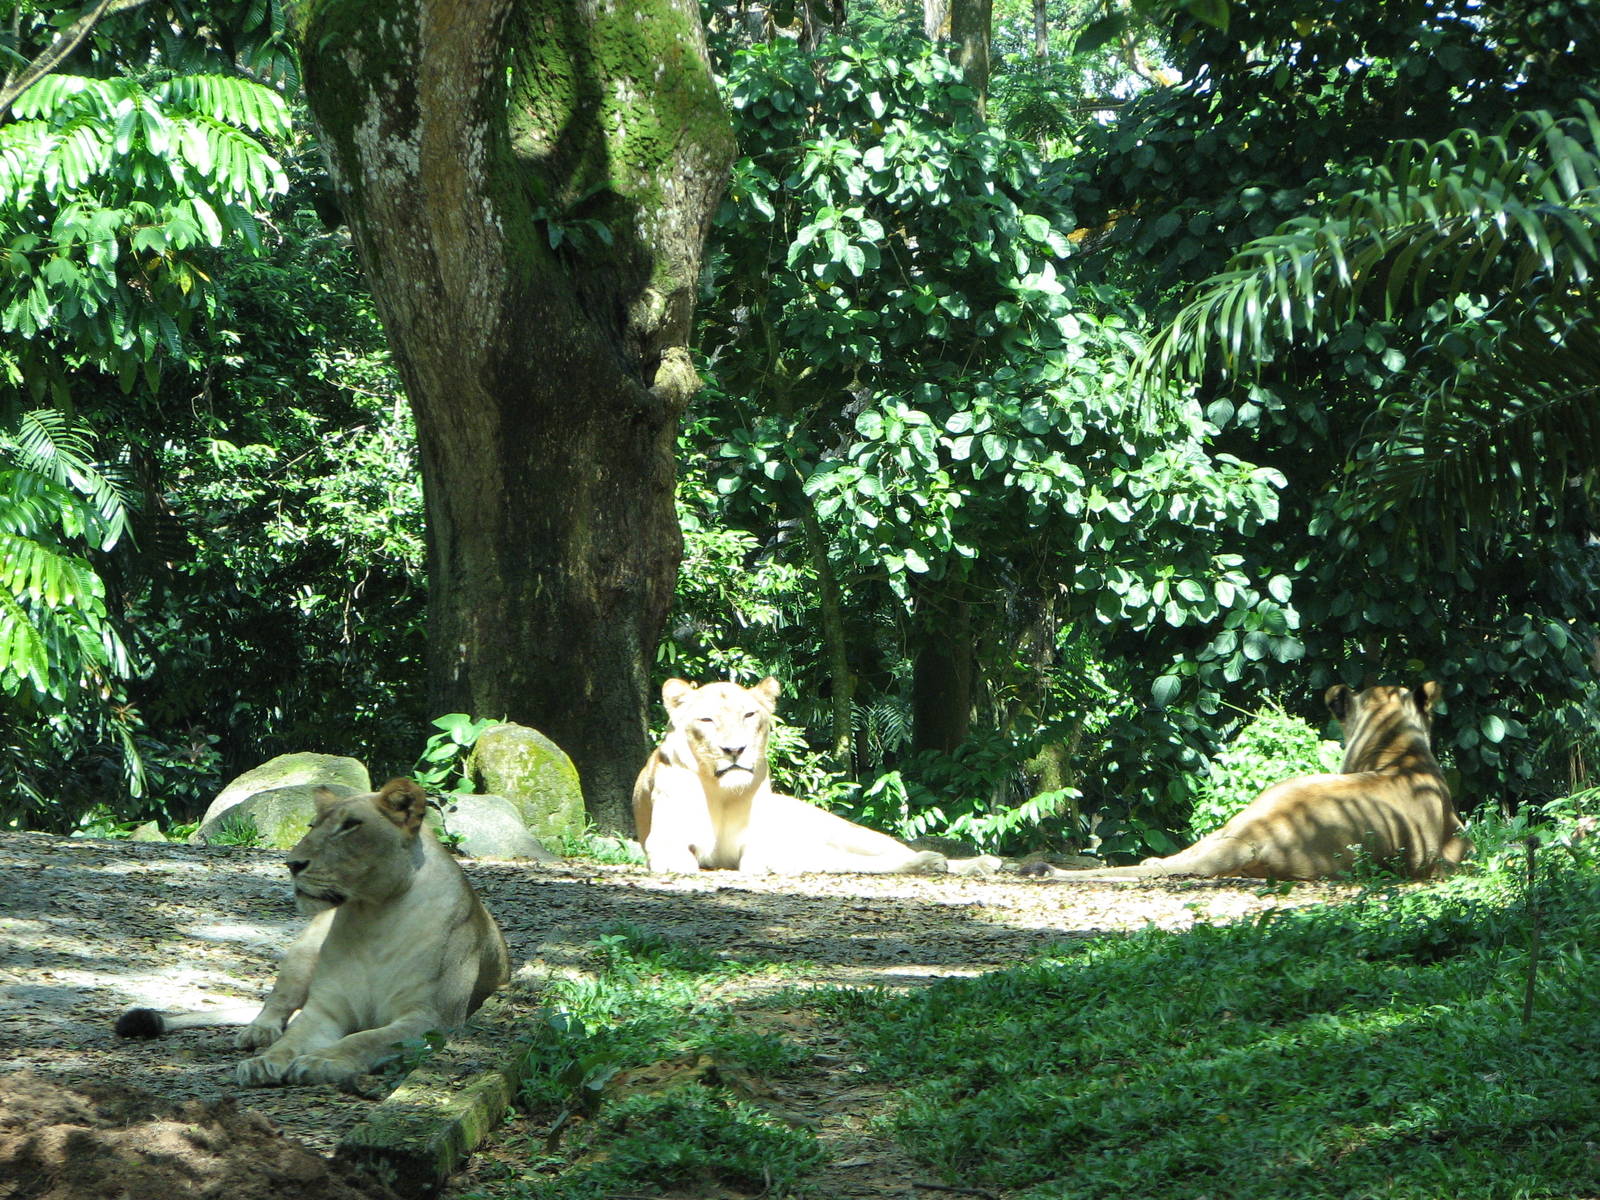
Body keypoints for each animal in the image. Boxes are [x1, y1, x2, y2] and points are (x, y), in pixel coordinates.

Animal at [114, 777, 510, 1089]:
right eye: (312, 824)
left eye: (350, 825)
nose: (292, 864)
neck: (374, 918)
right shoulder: (326, 1009)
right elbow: (292, 1038)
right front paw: (264, 1063)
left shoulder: (432, 1019)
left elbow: (366, 1039)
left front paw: (322, 1061)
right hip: (303, 951)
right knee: (278, 1004)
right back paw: (257, 1033)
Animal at [633, 677, 998, 876]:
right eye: (707, 720)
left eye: (749, 715)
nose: (734, 750)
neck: (723, 793)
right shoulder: (664, 840)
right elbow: (676, 855)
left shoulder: (761, 843)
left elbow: (760, 856)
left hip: (852, 834)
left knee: (894, 852)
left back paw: (972, 863)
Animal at [1026, 682, 1471, 882]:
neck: (1396, 745)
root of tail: (1256, 835)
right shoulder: (1457, 847)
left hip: (1251, 809)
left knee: (1192, 850)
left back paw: (1154, 862)